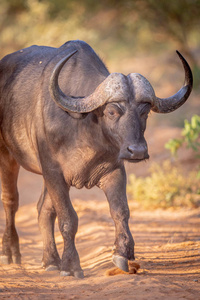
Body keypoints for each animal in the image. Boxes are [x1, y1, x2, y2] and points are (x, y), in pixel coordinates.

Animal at [0, 40, 192, 278]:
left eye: (145, 112)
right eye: (111, 111)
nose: (138, 151)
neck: (84, 127)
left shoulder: (114, 170)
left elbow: (121, 211)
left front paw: (123, 254)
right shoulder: (53, 172)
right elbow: (68, 218)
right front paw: (71, 265)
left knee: (42, 210)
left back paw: (51, 261)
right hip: (7, 154)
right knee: (11, 201)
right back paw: (10, 254)